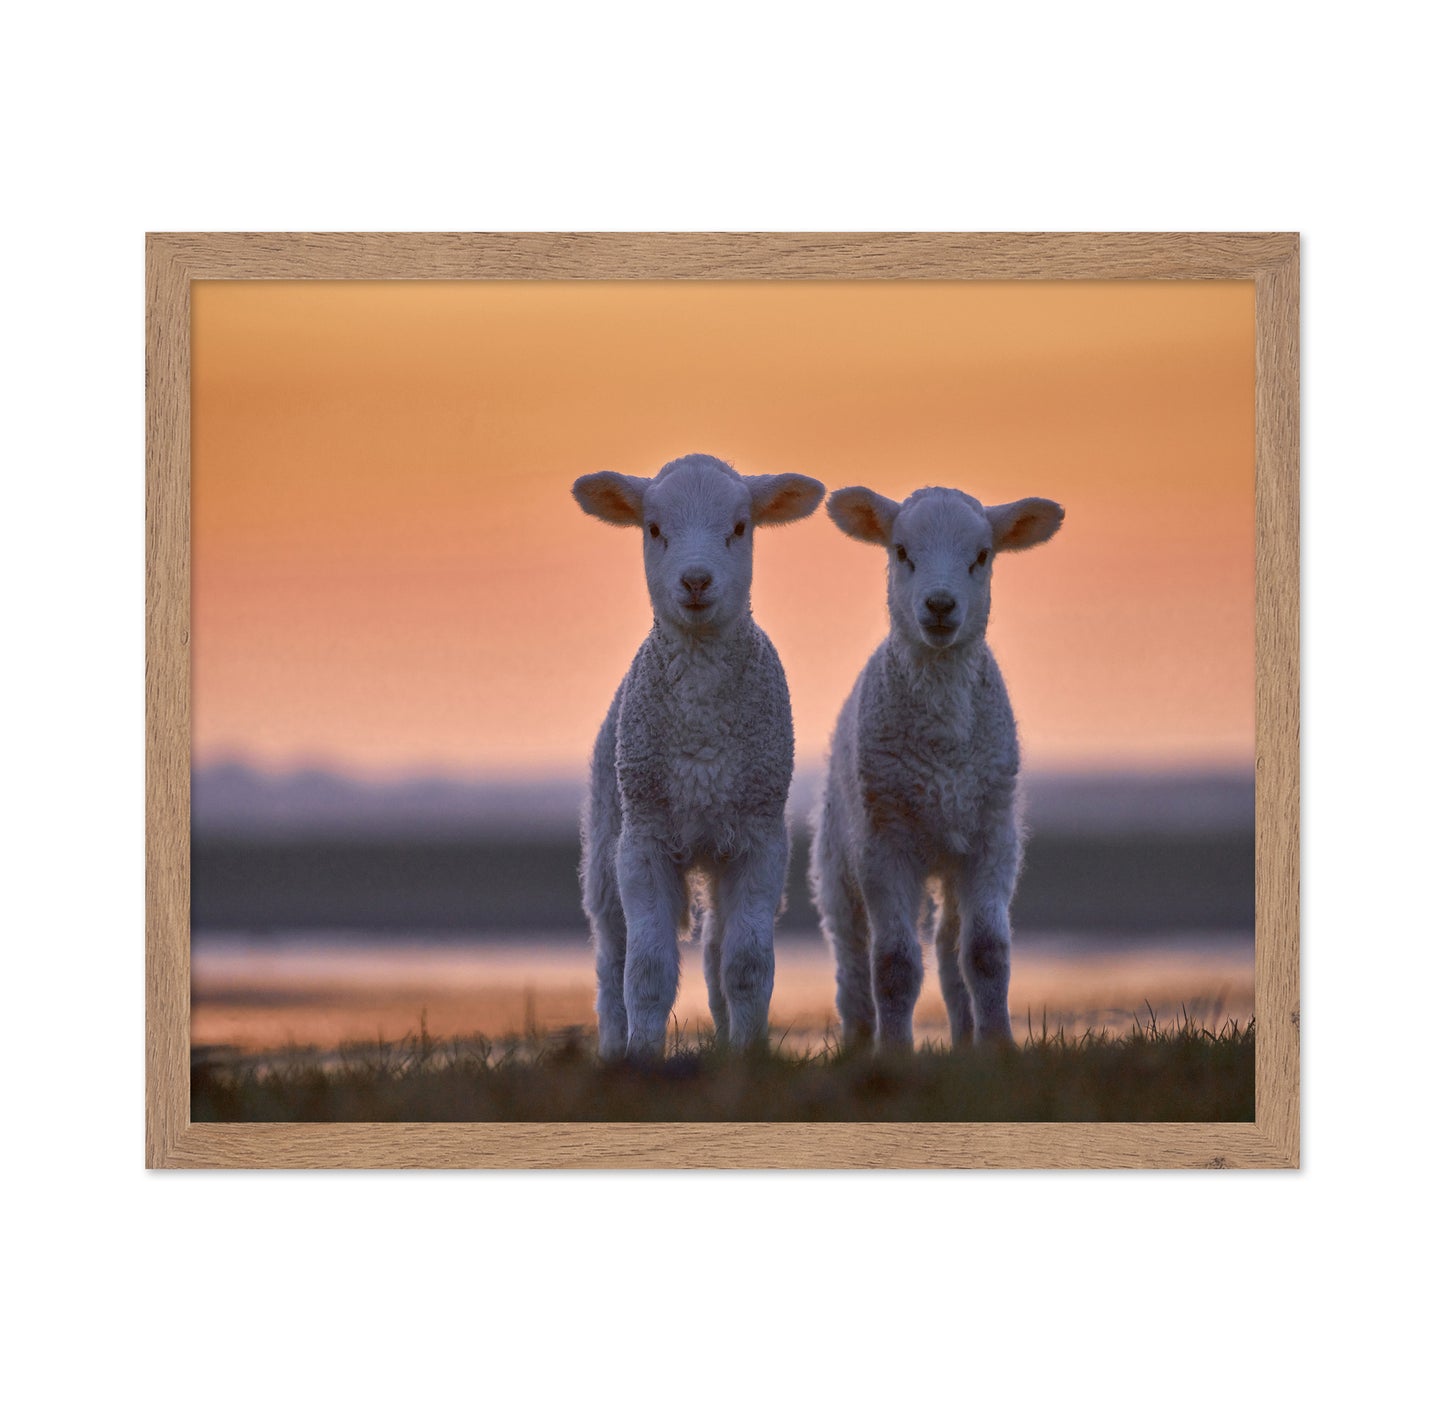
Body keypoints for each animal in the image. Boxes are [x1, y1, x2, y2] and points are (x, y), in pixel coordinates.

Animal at [572, 453, 825, 1059]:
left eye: (739, 527)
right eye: (653, 529)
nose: (695, 580)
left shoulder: (760, 839)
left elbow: (747, 966)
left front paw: (749, 1055)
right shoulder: (643, 841)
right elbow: (646, 970)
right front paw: (642, 1057)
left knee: (714, 951)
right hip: (606, 841)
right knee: (610, 958)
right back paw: (612, 1047)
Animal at [809, 484, 1064, 1051]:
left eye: (982, 556)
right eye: (901, 551)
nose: (941, 605)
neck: (943, 748)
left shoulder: (993, 838)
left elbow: (986, 954)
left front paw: (999, 1047)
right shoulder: (884, 844)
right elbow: (894, 964)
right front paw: (894, 1052)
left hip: (952, 855)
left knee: (950, 948)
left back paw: (966, 1039)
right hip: (838, 855)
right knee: (851, 955)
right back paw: (859, 1040)